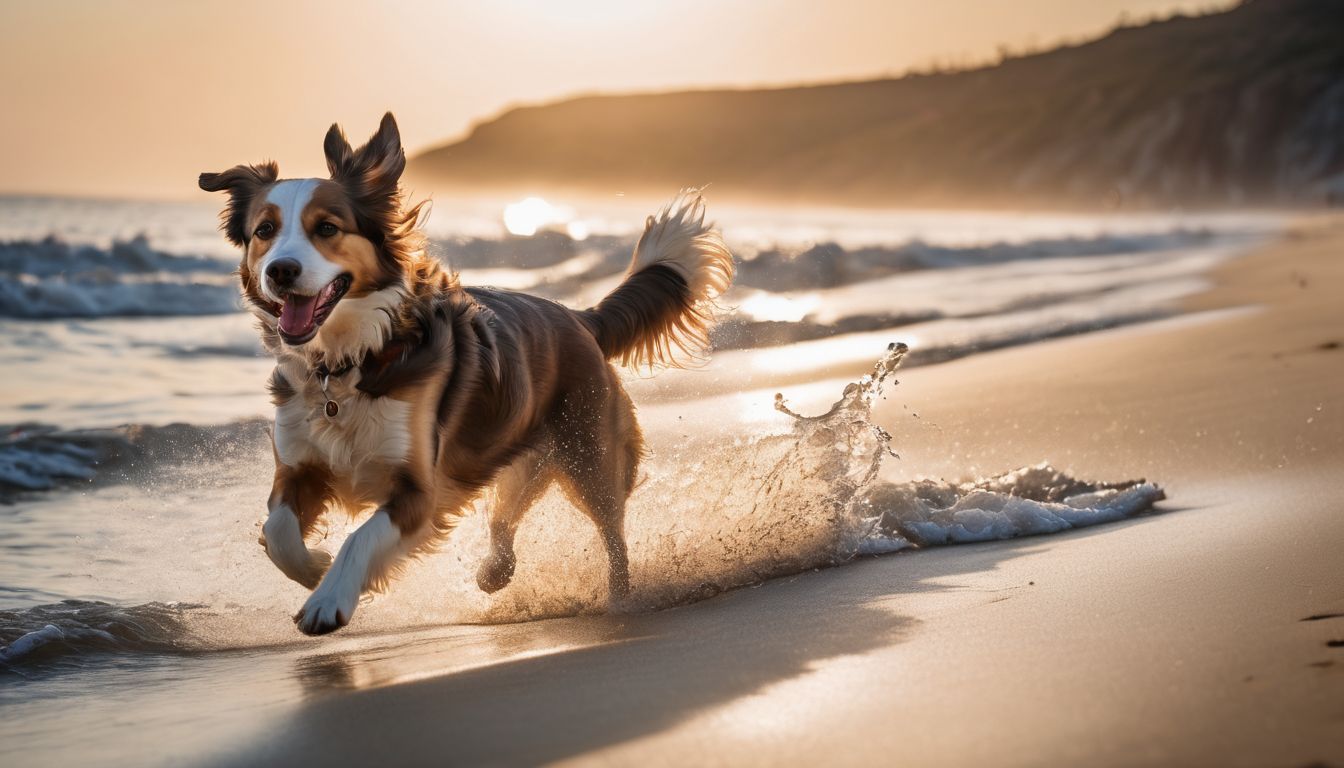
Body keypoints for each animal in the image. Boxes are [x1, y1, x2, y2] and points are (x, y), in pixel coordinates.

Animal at [196, 110, 736, 634]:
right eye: (264, 231)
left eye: (326, 228)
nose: (280, 271)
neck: (350, 362)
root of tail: (581, 318)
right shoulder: (299, 467)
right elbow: (278, 532)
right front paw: (315, 568)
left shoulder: (419, 489)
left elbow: (361, 538)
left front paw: (329, 599)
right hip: (511, 456)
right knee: (505, 517)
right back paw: (495, 571)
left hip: (589, 458)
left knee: (613, 534)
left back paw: (619, 602)